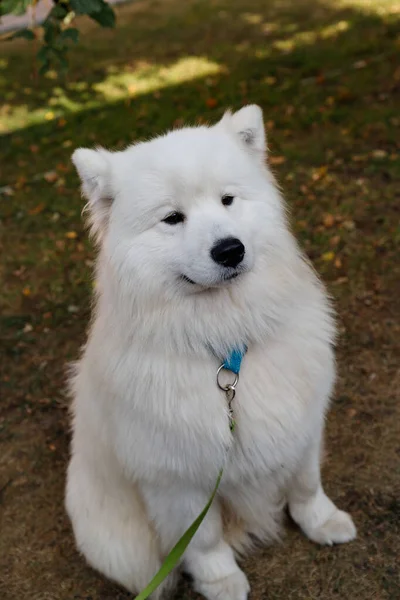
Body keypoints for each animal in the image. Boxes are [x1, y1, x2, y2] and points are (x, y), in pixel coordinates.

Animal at [66, 105, 356, 596]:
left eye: (227, 200)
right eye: (172, 218)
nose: (229, 249)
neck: (226, 345)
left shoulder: (302, 427)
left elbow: (306, 486)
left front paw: (322, 523)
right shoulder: (177, 479)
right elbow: (203, 540)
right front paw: (221, 580)